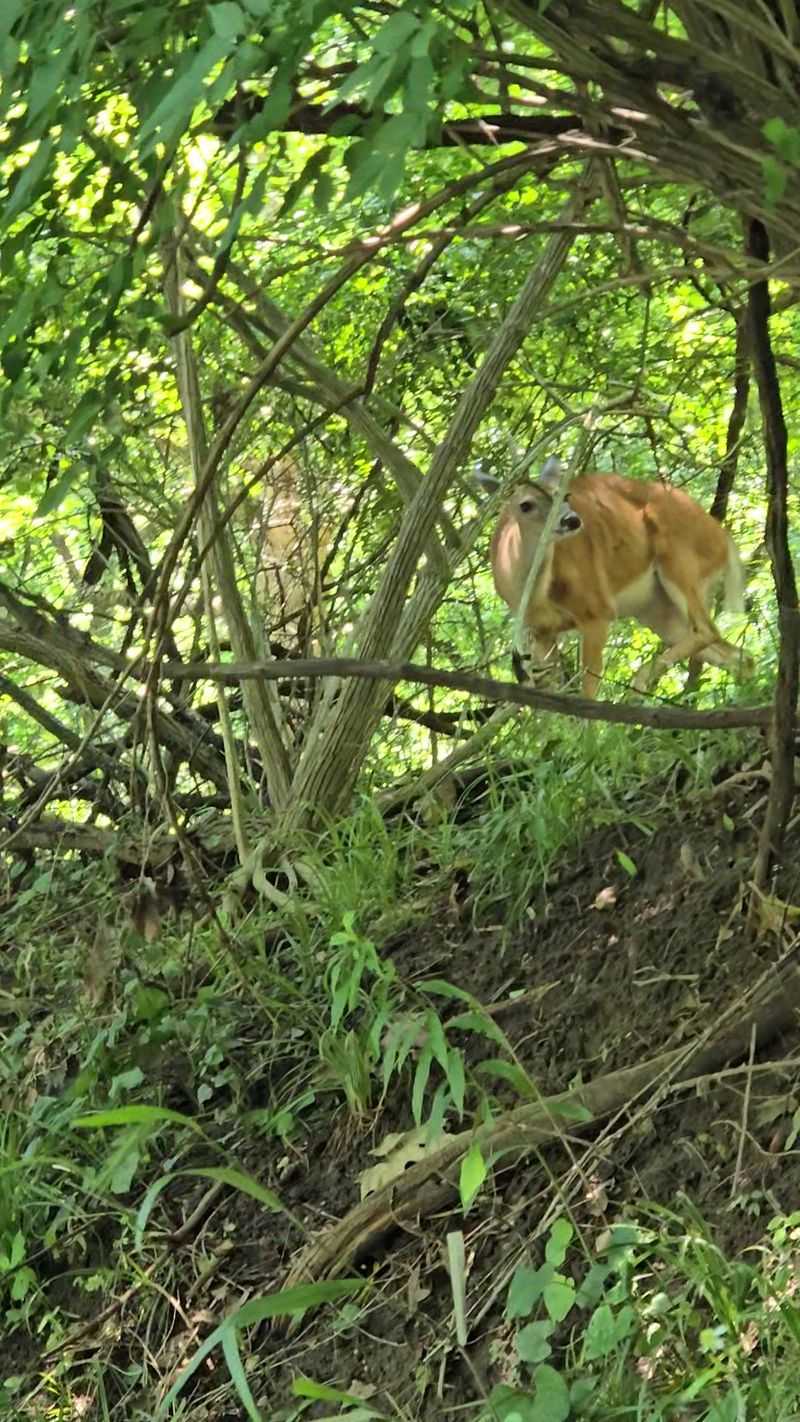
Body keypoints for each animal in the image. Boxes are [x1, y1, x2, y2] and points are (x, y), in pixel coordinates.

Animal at [478, 456, 752, 699]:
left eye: (565, 495)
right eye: (526, 504)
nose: (572, 520)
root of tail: (724, 538)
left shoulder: (597, 610)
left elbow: (588, 692)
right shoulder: (542, 631)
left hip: (680, 560)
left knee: (707, 630)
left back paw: (639, 683)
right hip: (658, 610)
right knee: (739, 656)